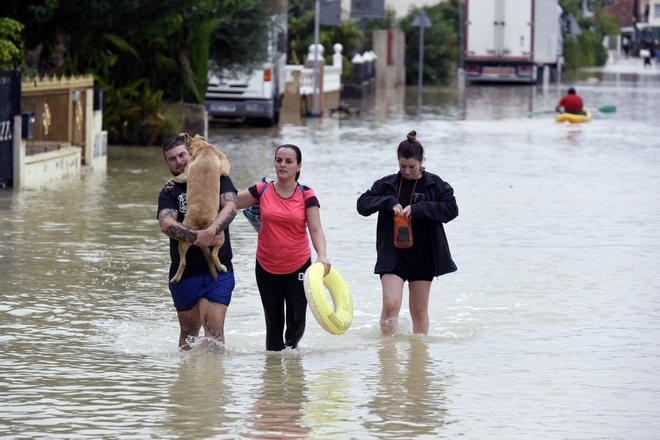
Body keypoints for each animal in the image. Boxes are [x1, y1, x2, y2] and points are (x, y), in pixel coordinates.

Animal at [169, 132, 231, 284]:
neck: (203, 148)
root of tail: (200, 224)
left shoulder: (185, 174)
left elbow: (174, 178)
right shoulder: (225, 166)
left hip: (182, 241)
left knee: (183, 262)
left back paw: (176, 278)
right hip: (220, 235)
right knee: (214, 255)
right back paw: (221, 268)